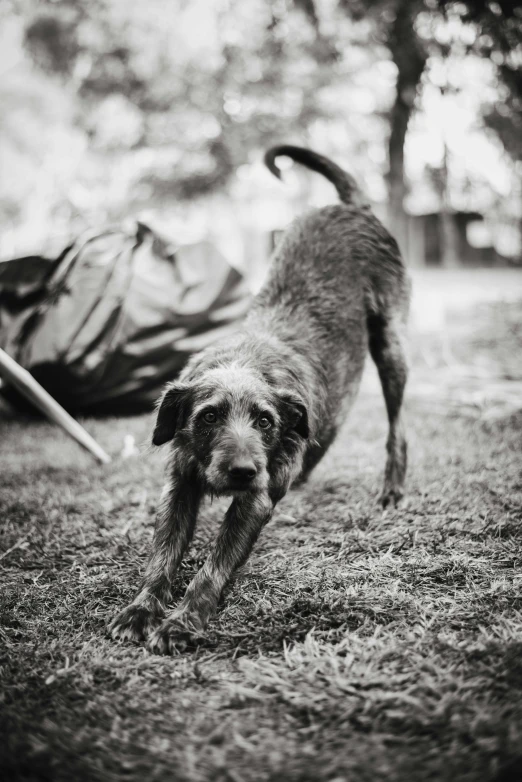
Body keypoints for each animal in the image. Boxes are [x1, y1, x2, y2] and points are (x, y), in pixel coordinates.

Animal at [108, 145, 410, 656]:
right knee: (328, 428)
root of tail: (352, 206)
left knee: (398, 428)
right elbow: (162, 557)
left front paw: (183, 620)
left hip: (391, 347)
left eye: (265, 421)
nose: (244, 470)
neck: (246, 362)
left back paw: (391, 486)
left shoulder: (253, 501)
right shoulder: (180, 486)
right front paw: (142, 609)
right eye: (208, 417)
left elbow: (212, 568)